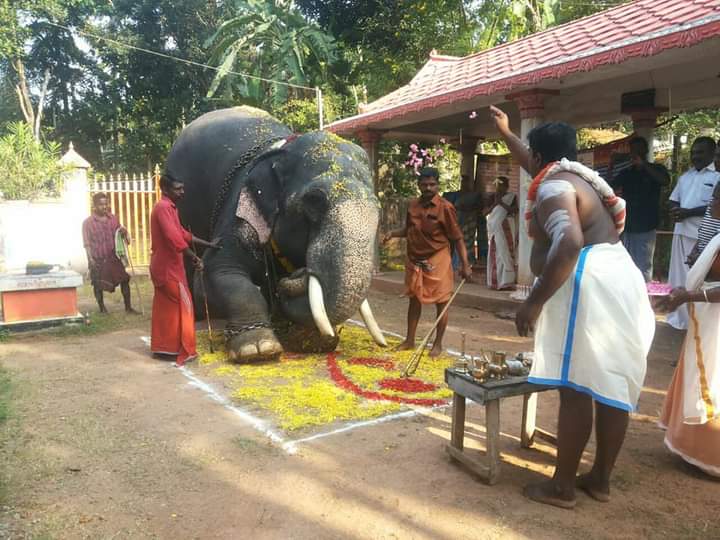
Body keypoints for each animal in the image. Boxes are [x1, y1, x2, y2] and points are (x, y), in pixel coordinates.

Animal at [165, 106, 388, 362]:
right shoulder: (238, 207)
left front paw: (313, 343)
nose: (297, 276)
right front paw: (257, 349)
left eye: (379, 210)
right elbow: (216, 271)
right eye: (314, 200)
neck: (280, 151)